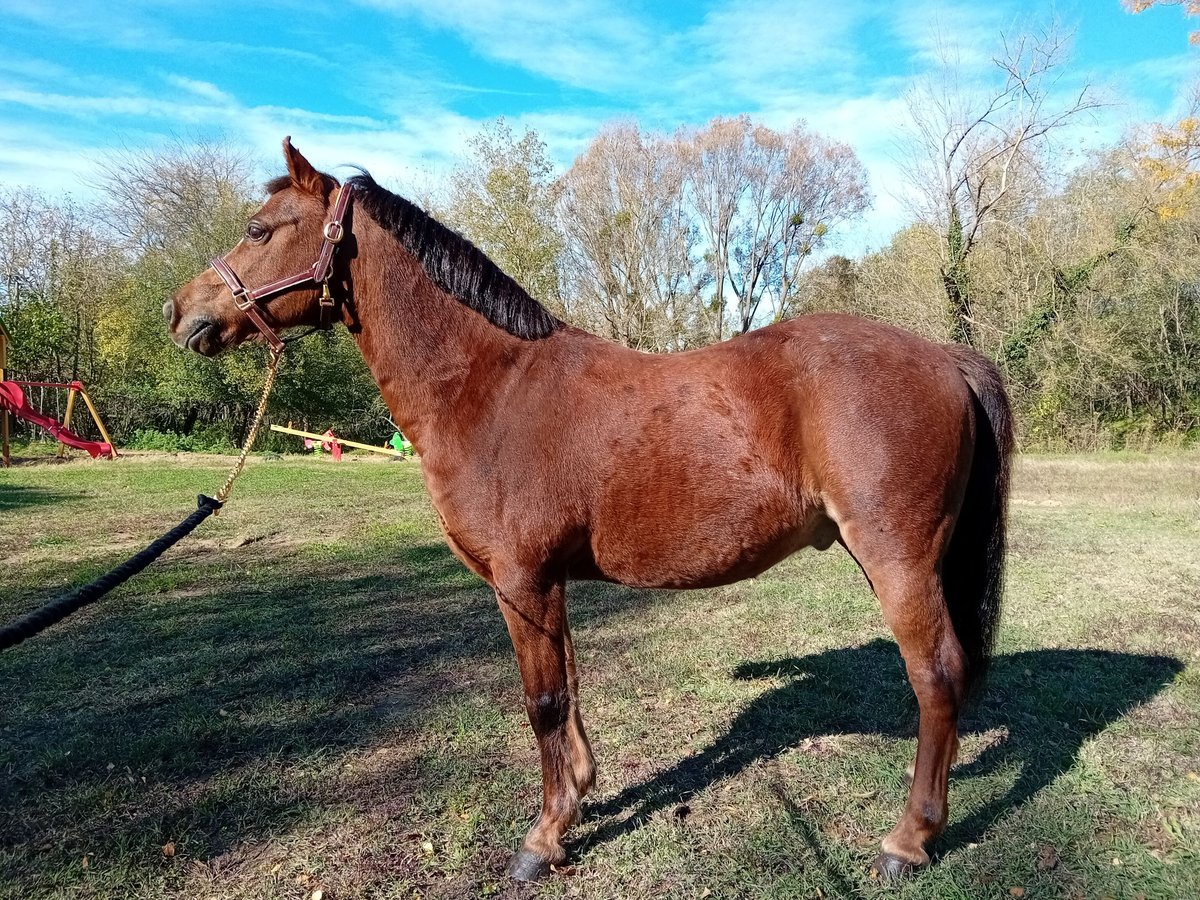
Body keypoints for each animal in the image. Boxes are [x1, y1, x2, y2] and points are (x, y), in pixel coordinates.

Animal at [166, 137, 1012, 883]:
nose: (180, 312)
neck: (489, 388)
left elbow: (541, 701)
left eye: (259, 229)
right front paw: (575, 799)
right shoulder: (549, 585)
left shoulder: (521, 581)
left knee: (936, 676)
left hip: (898, 561)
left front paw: (541, 841)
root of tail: (945, 356)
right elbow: (567, 691)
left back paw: (908, 841)